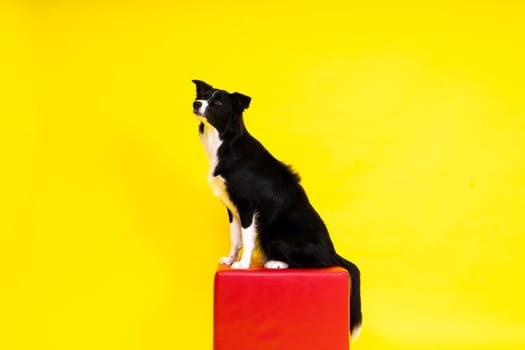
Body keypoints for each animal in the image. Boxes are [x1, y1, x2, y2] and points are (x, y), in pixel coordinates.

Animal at [191, 80, 360, 340]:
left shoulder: (247, 205)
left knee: (317, 262)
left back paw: (276, 263)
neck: (225, 142)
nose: (196, 103)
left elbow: (247, 238)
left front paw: (243, 265)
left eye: (217, 102)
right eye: (204, 94)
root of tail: (333, 252)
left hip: (276, 235)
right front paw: (230, 259)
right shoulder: (231, 207)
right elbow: (235, 237)